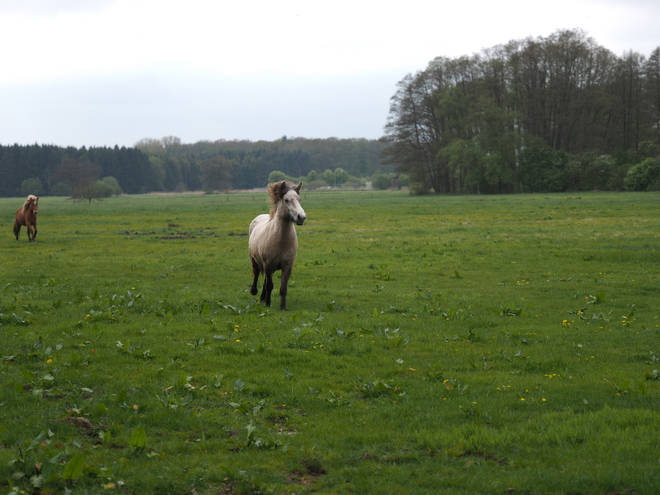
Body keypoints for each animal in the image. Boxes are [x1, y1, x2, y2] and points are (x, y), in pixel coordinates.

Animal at [249, 180, 308, 310]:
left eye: (299, 199)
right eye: (286, 200)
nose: (301, 217)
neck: (281, 242)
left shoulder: (287, 266)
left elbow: (283, 288)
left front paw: (283, 307)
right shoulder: (267, 264)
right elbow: (270, 285)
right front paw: (268, 304)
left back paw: (262, 297)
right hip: (254, 259)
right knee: (256, 272)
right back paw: (254, 292)